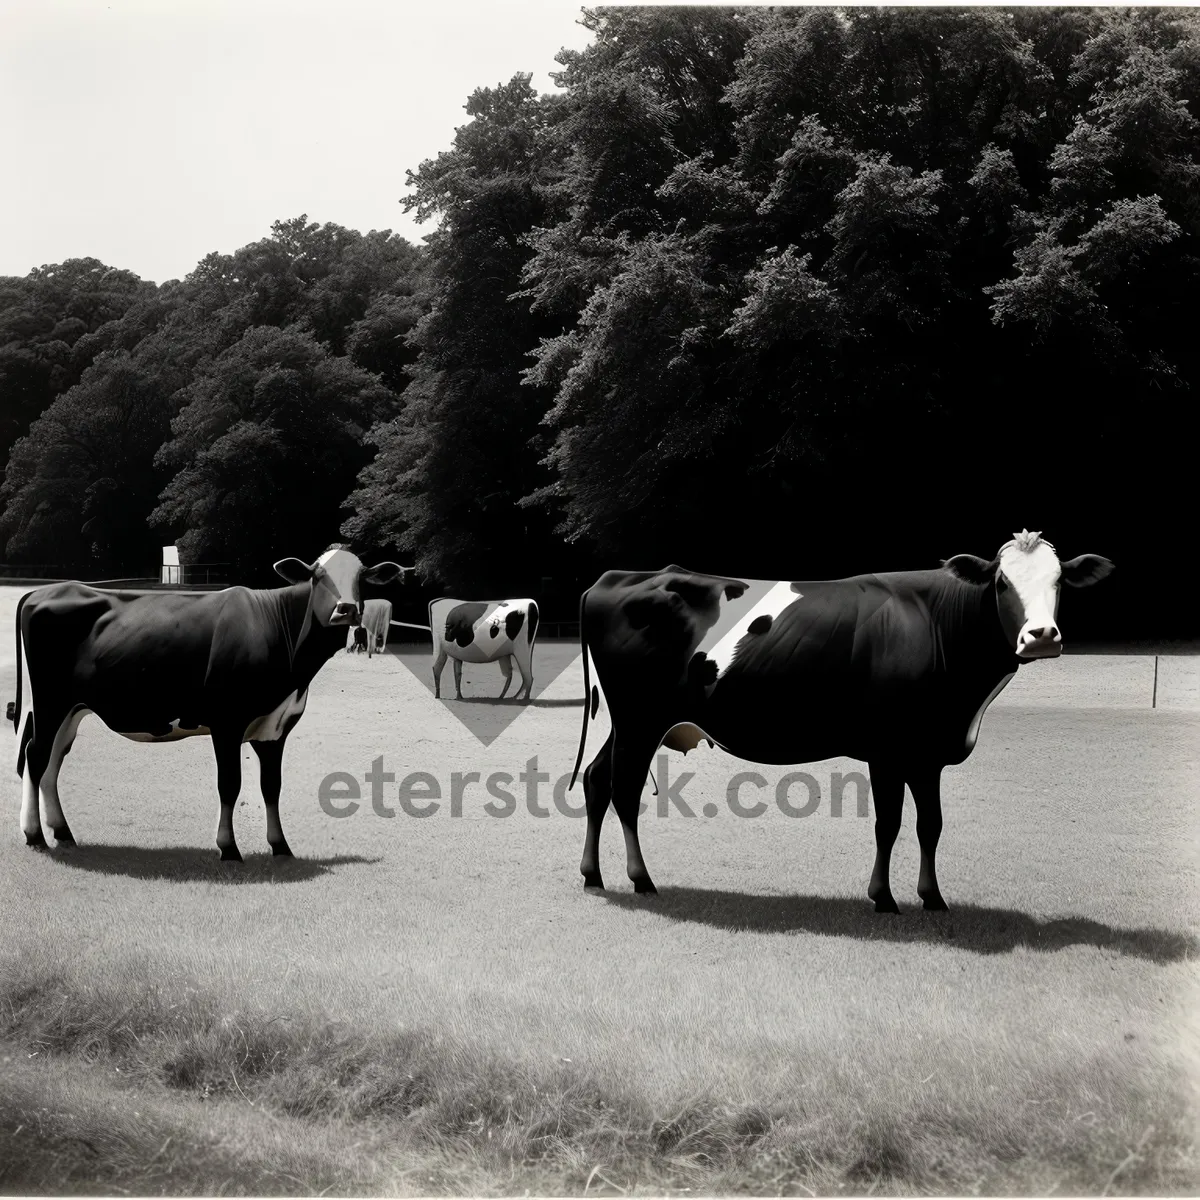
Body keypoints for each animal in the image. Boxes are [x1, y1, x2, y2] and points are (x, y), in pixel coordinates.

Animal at [7, 544, 412, 864]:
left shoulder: (276, 727)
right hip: (51, 700)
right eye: (317, 575)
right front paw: (229, 849)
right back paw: (35, 835)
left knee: (53, 758)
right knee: (36, 754)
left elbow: (272, 786)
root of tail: (45, 591)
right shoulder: (227, 721)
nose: (346, 608)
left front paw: (281, 847)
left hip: (71, 709)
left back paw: (62, 833)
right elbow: (230, 784)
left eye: (360, 577)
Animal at [571, 532, 1113, 907]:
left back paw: (593, 875)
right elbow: (889, 824)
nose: (1041, 636)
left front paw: (932, 898)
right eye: (1002, 582)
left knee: (597, 779)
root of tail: (617, 577)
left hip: (625, 721)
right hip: (640, 719)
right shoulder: (887, 750)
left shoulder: (926, 753)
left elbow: (931, 825)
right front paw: (884, 898)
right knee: (623, 790)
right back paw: (641, 880)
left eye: (1059, 581)